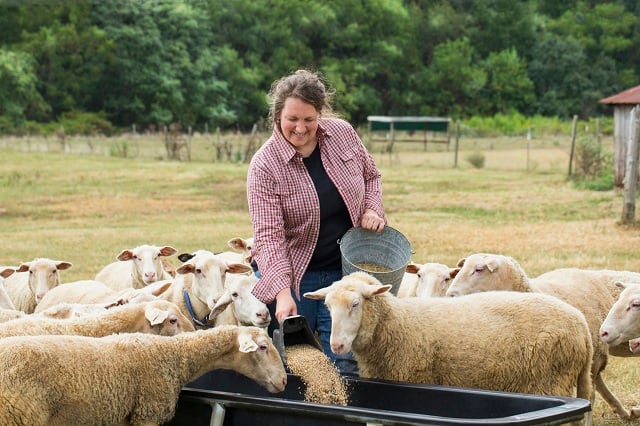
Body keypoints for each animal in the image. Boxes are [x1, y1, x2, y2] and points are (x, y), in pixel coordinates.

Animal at [302, 272, 592, 410]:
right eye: (327, 306)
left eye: (355, 304)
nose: (336, 345)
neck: (399, 322)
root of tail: (581, 324)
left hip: (550, 381)